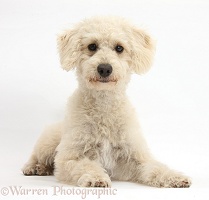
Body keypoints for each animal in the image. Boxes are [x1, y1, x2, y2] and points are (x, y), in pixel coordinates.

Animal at [22, 16, 192, 188]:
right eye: (92, 46)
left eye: (119, 48)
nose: (104, 68)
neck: (104, 107)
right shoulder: (69, 157)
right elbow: (85, 165)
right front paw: (96, 178)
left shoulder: (136, 157)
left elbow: (156, 167)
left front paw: (175, 177)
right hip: (47, 143)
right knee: (36, 156)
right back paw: (34, 167)